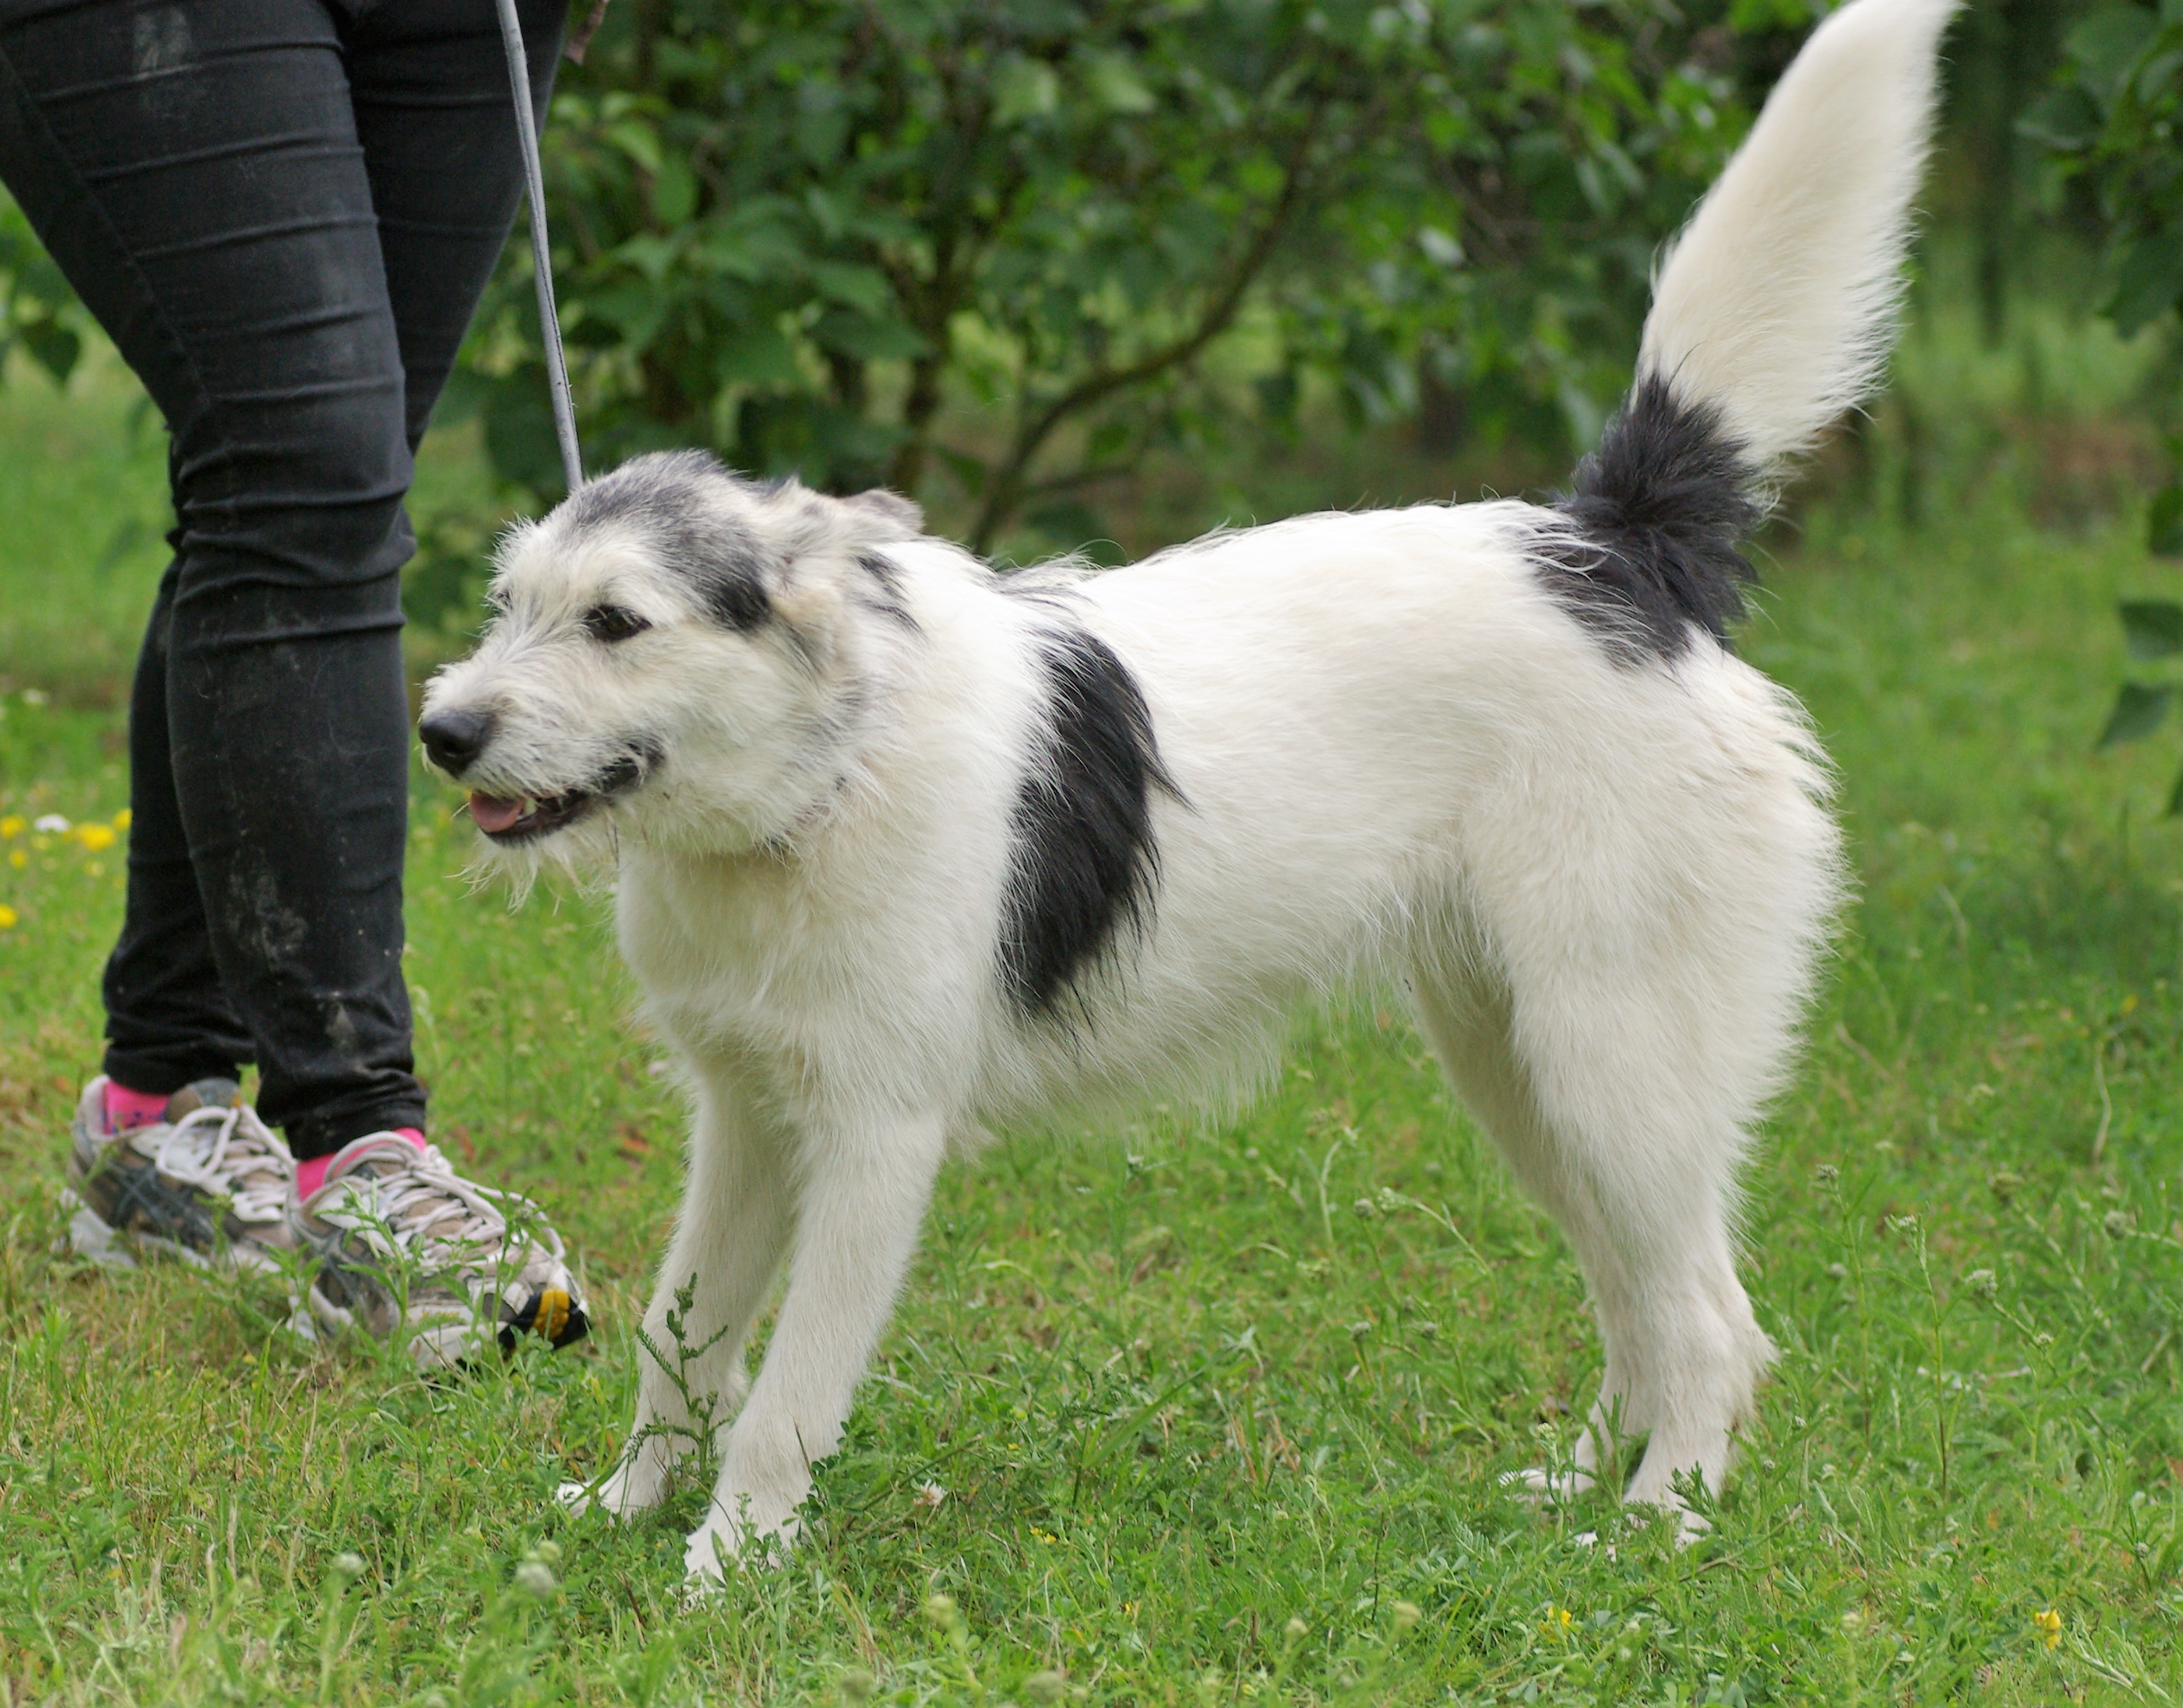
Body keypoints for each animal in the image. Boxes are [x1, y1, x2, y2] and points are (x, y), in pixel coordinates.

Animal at [420, 0, 1956, 1581]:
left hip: (1616, 1068)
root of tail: (1619, 547)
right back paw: (1585, 1486)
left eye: (617, 622)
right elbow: (681, 1346)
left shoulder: (872, 1145)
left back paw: (1656, 1525)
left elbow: (783, 1395)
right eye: (508, 604)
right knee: (1641, 1304)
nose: (443, 731)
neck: (826, 777)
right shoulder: (744, 1121)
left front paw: (727, 1568)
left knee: (1709, 1319)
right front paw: (626, 1512)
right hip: (1523, 1069)